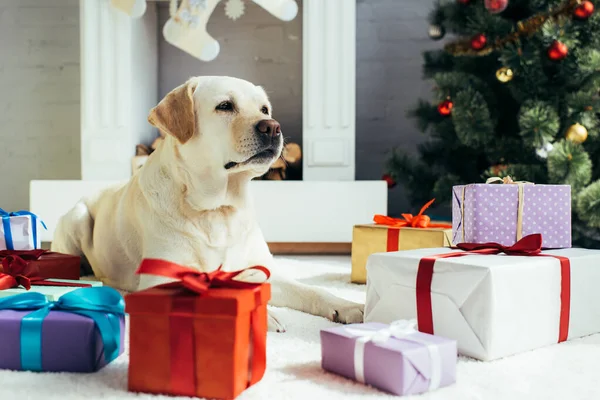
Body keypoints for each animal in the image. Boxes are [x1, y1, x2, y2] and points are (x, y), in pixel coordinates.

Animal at [51, 75, 360, 332]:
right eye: (225, 106)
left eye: (264, 110)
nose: (273, 127)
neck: (219, 209)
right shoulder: (160, 280)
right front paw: (263, 315)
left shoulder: (261, 269)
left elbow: (312, 291)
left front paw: (349, 306)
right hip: (78, 217)